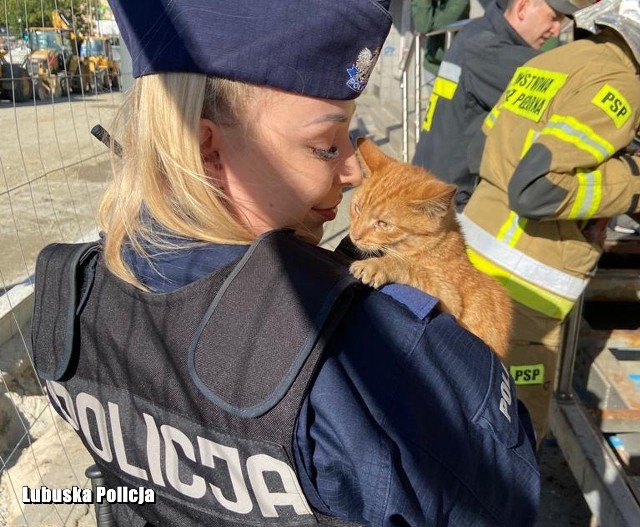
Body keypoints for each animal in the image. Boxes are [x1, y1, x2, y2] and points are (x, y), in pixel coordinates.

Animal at [348, 138, 512, 364]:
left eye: (383, 224)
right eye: (357, 209)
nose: (354, 235)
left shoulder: (450, 300)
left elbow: (410, 268)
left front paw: (377, 266)